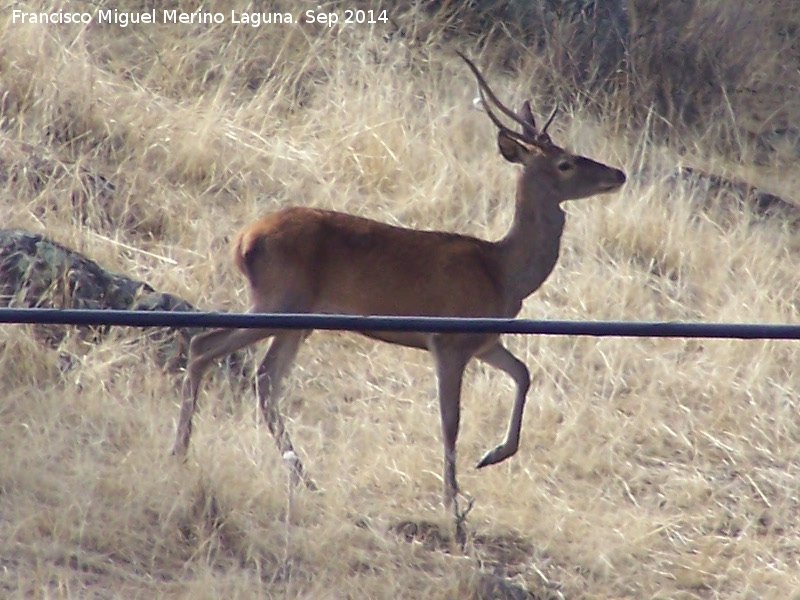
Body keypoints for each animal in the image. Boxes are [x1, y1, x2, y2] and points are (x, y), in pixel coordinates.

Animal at [173, 52, 624, 516]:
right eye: (565, 162)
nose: (619, 173)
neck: (503, 272)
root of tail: (242, 241)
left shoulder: (484, 340)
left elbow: (523, 373)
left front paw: (492, 456)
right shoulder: (447, 341)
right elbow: (450, 421)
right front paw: (453, 502)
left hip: (298, 318)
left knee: (264, 377)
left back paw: (300, 476)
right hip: (278, 302)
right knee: (207, 346)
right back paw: (183, 453)